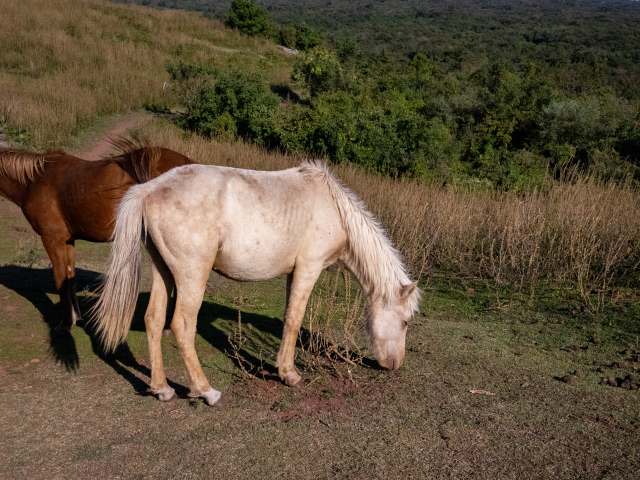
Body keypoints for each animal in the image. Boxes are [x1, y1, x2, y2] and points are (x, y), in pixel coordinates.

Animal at [0, 139, 191, 332]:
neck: (34, 181)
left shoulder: (52, 239)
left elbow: (60, 279)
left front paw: (65, 324)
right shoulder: (68, 240)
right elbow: (70, 278)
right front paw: (76, 318)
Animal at [90, 161, 420, 404]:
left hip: (164, 271)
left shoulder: (293, 273)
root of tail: (149, 189)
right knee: (182, 326)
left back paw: (162, 389)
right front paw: (290, 375)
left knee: (154, 320)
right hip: (191, 275)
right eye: (405, 322)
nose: (395, 364)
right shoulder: (308, 268)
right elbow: (295, 319)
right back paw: (206, 392)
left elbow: (288, 317)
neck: (335, 210)